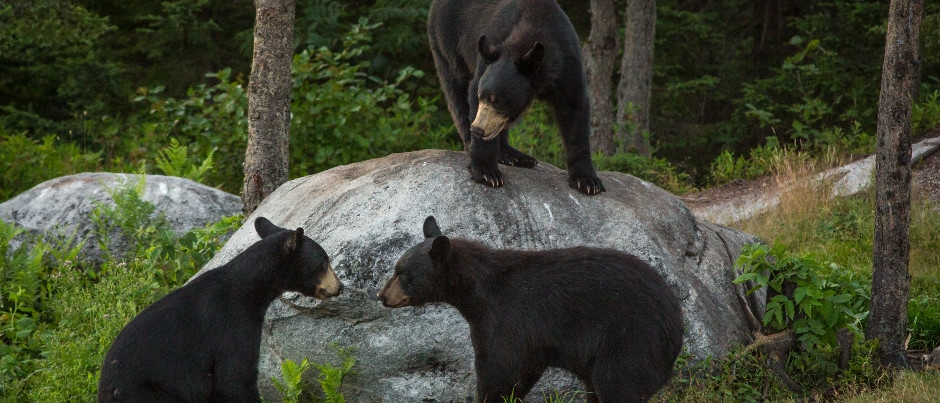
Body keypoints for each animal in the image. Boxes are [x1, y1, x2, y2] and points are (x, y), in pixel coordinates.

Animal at [97, 219, 346, 402]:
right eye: (325, 262)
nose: (340, 286)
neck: (250, 290)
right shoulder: (231, 324)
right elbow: (234, 379)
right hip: (147, 393)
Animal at [374, 218, 684, 403]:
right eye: (396, 269)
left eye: (403, 274)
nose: (381, 295)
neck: (477, 291)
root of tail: (676, 324)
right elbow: (522, 371)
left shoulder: (506, 318)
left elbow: (500, 368)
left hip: (630, 339)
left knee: (619, 385)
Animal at [428, 0, 604, 196]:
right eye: (483, 97)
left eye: (498, 101)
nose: (478, 129)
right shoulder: (491, 52)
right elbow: (472, 89)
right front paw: (487, 172)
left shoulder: (568, 60)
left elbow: (574, 107)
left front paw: (587, 180)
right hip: (447, 43)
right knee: (456, 92)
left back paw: (514, 155)